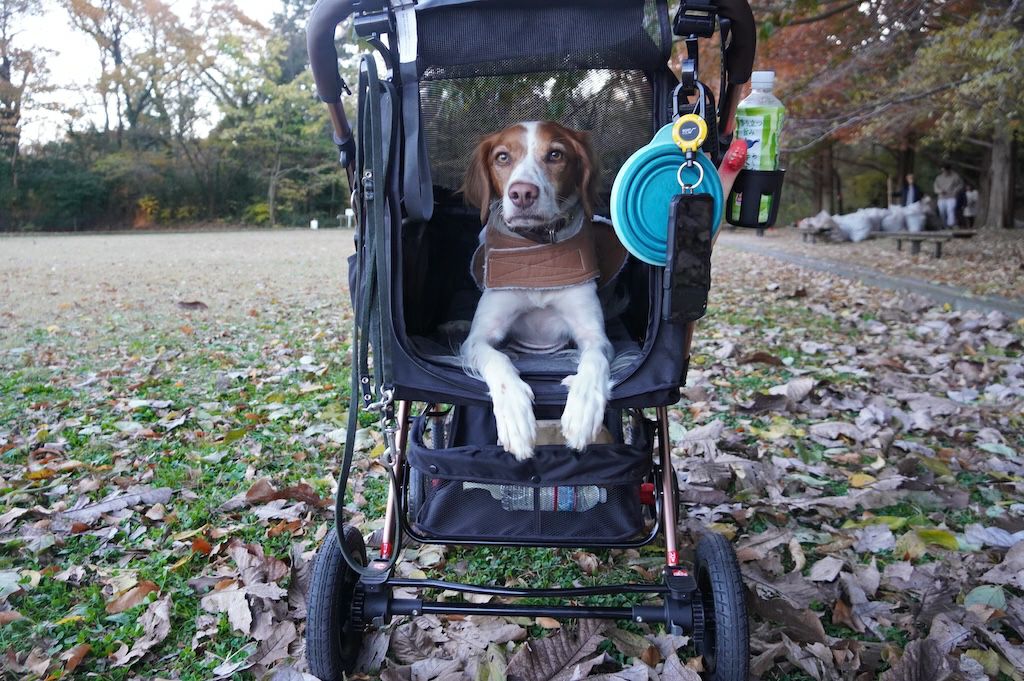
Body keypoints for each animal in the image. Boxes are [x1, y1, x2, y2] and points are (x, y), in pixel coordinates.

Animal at [460, 121, 626, 460]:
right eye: (502, 157)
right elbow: (498, 359)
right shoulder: (477, 339)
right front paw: (514, 416)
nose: (522, 193)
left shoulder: (595, 337)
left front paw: (583, 409)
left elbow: (594, 362)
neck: (537, 245)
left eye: (555, 155)